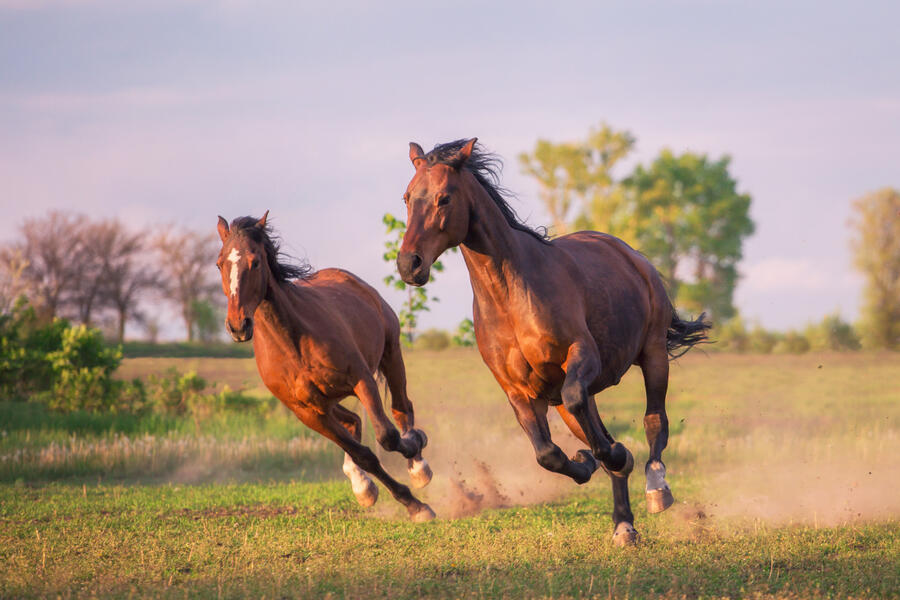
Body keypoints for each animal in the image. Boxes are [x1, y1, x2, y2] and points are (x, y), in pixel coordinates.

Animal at [216, 212, 436, 522]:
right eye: (219, 263)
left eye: (255, 261)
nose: (238, 325)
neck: (293, 343)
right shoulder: (307, 412)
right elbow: (364, 454)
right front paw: (410, 503)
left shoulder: (362, 380)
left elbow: (387, 436)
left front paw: (416, 464)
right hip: (328, 401)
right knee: (353, 421)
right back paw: (362, 486)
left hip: (391, 354)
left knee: (402, 408)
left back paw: (418, 467)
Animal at [396, 139, 709, 545]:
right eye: (407, 197)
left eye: (444, 198)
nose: (409, 264)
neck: (511, 297)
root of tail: (632, 256)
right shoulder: (519, 390)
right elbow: (548, 453)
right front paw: (588, 460)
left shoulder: (581, 355)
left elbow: (599, 425)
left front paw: (614, 456)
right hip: (566, 402)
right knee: (595, 428)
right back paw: (623, 524)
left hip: (654, 354)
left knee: (655, 420)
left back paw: (656, 487)